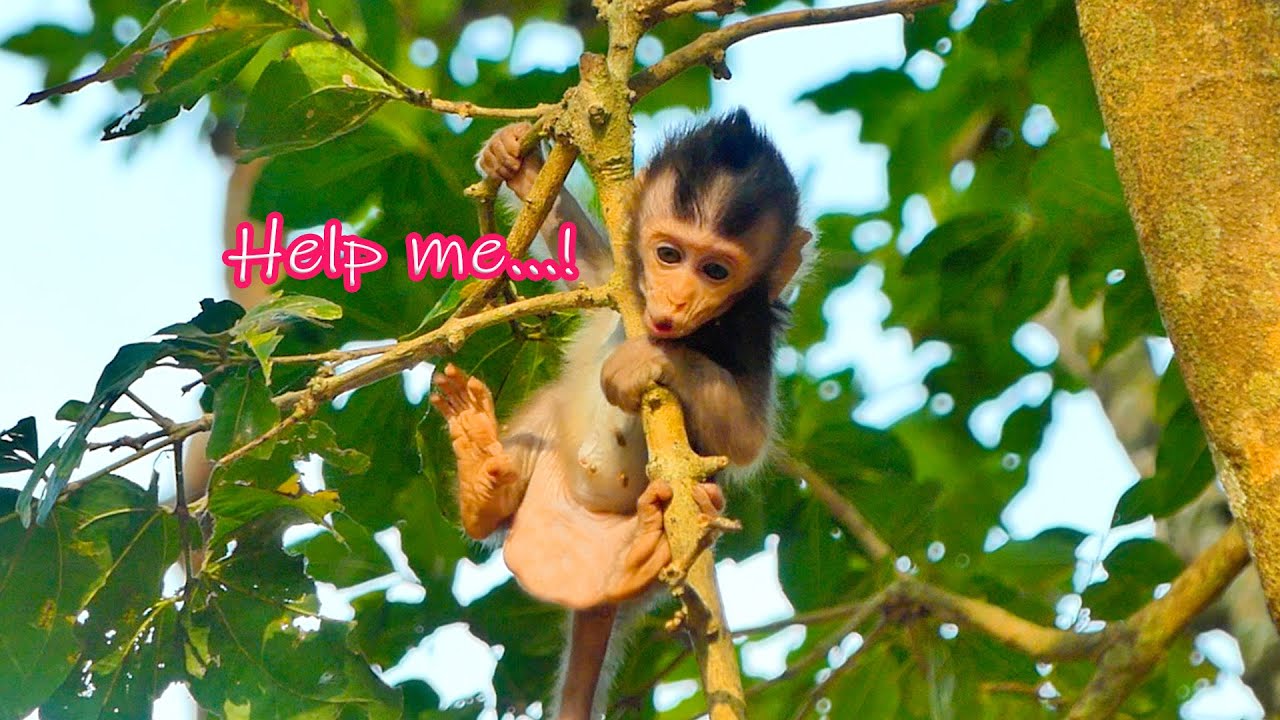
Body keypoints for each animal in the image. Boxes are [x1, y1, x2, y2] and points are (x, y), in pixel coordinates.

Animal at [430, 109, 810, 719]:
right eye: (668, 255)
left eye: (716, 271)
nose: (675, 302)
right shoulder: (625, 291)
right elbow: (593, 271)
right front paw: (514, 160)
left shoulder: (750, 333)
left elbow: (748, 439)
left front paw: (650, 360)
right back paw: (483, 476)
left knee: (700, 507)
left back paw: (642, 552)